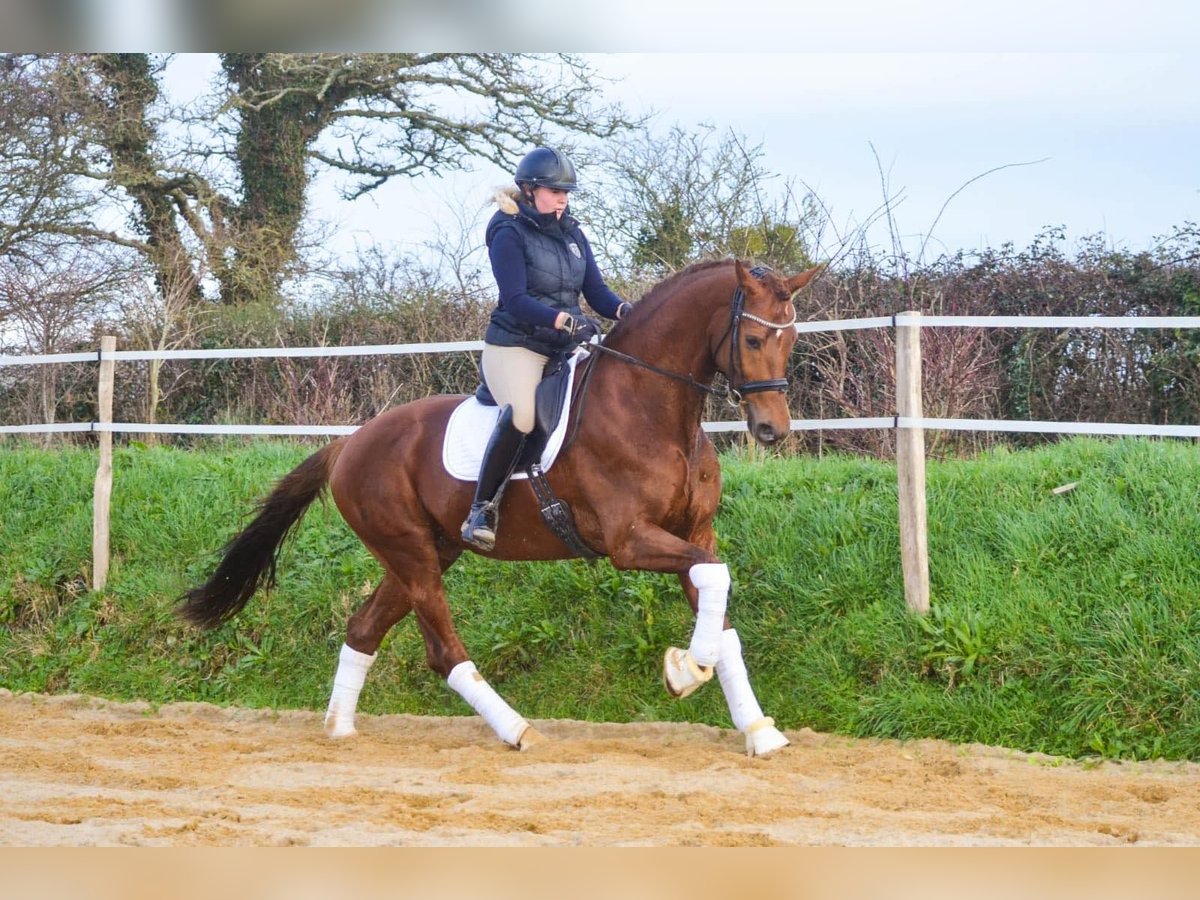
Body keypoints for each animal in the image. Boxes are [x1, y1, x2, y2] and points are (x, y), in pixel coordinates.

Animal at [180, 256, 825, 758]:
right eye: (751, 339)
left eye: (791, 338)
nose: (773, 430)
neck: (653, 409)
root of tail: (350, 444)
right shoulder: (629, 541)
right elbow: (714, 581)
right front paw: (684, 671)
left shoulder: (694, 534)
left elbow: (720, 600)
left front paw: (758, 730)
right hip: (411, 554)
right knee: (443, 652)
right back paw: (518, 730)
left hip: (425, 553)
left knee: (364, 628)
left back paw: (339, 728)